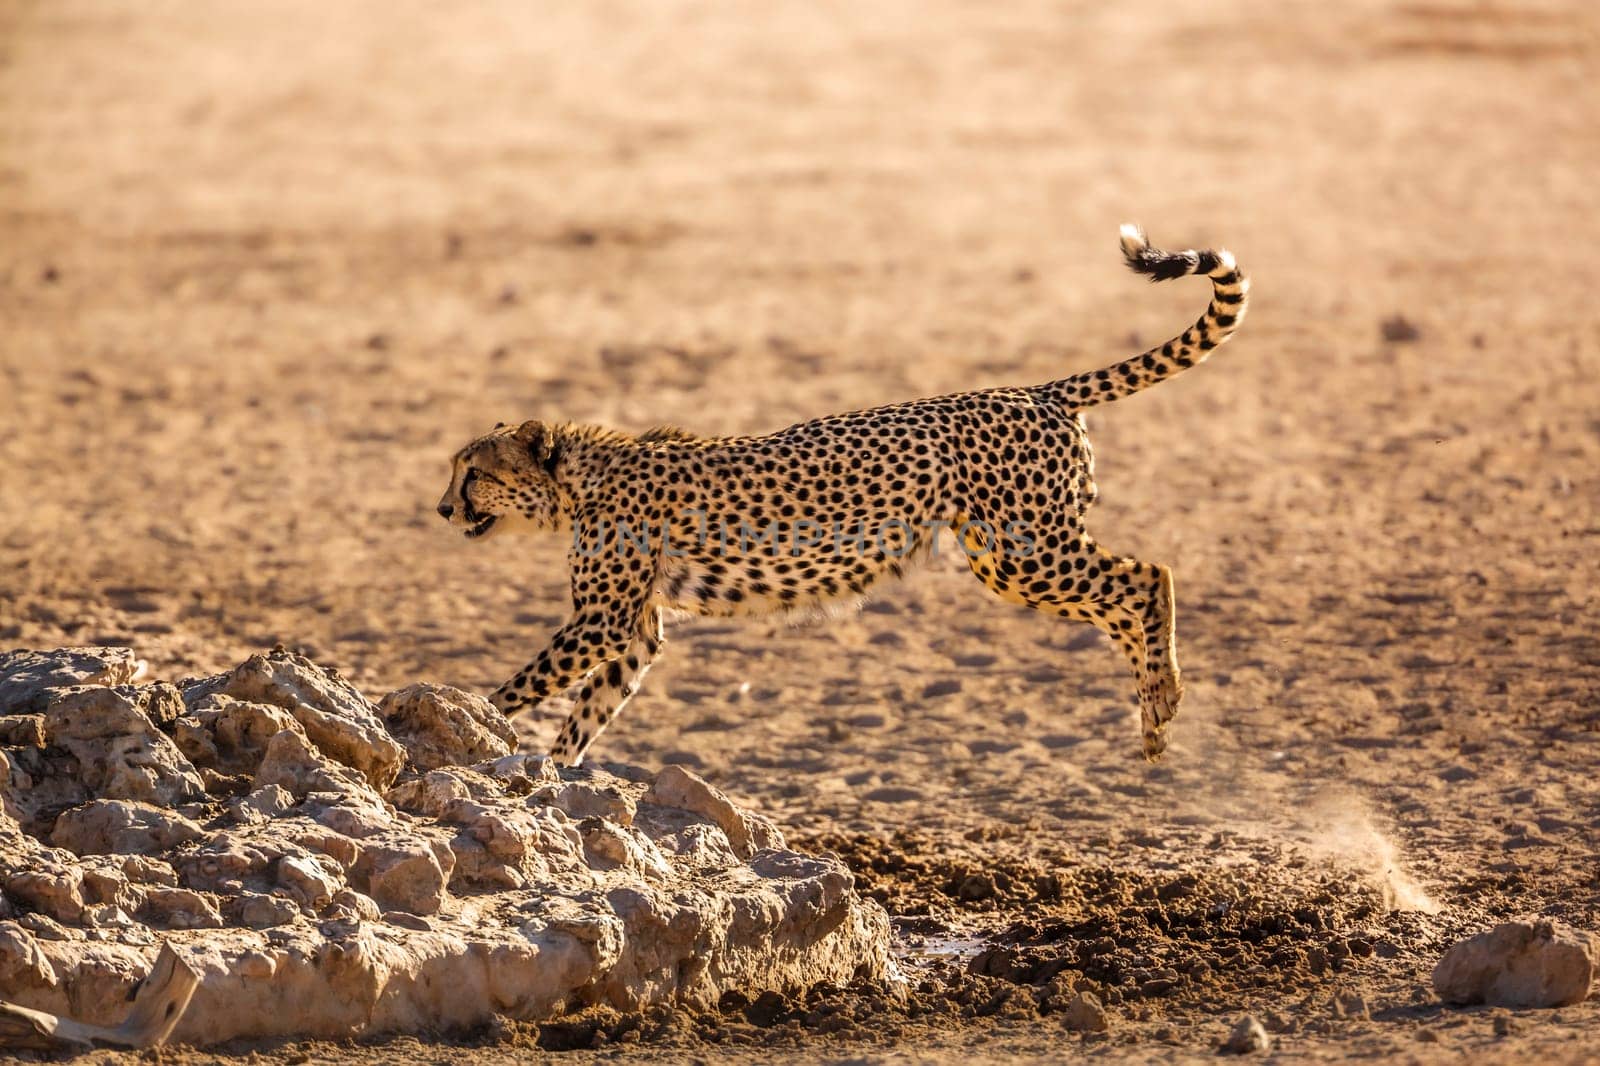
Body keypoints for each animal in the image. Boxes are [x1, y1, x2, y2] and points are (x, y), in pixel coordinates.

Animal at [438, 225, 1248, 765]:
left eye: (472, 471)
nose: (444, 509)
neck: (580, 477)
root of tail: (1035, 388)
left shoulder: (604, 617)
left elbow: (523, 685)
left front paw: (459, 716)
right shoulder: (634, 626)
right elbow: (589, 709)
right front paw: (549, 774)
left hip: (1022, 553)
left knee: (1149, 578)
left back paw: (1162, 699)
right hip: (1020, 556)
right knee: (1121, 602)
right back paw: (1153, 721)